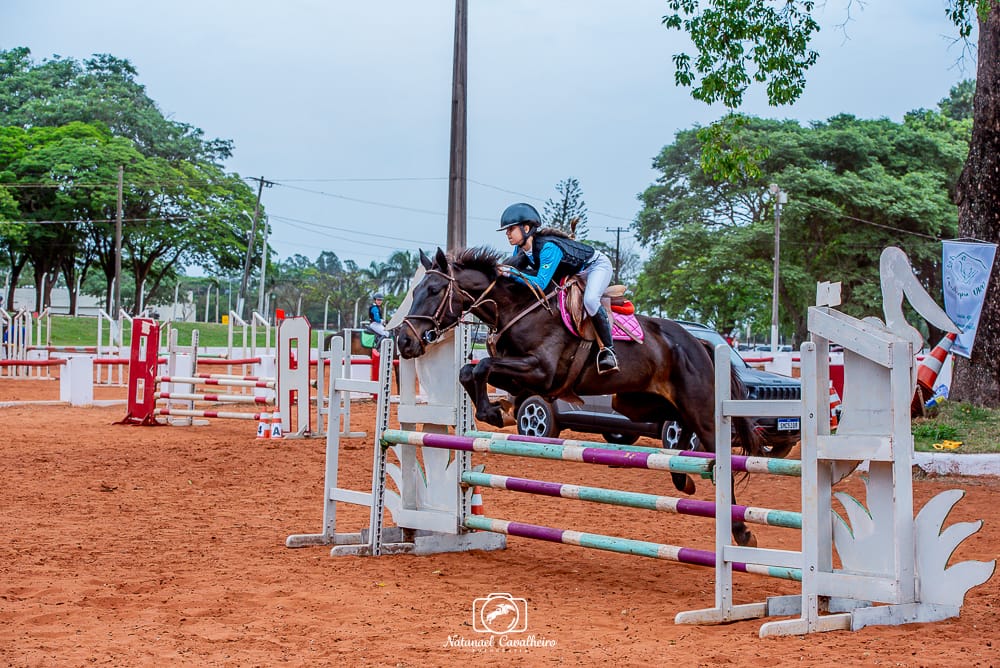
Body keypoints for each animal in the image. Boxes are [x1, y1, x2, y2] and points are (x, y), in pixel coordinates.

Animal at [394, 248, 760, 544]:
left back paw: (741, 531)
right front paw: (498, 412)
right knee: (678, 426)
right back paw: (683, 480)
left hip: (700, 405)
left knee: (716, 451)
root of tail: (701, 343)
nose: (404, 341)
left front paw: (496, 412)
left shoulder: (542, 372)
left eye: (434, 290)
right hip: (636, 402)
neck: (520, 309)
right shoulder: (525, 376)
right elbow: (469, 372)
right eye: (416, 291)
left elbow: (482, 365)